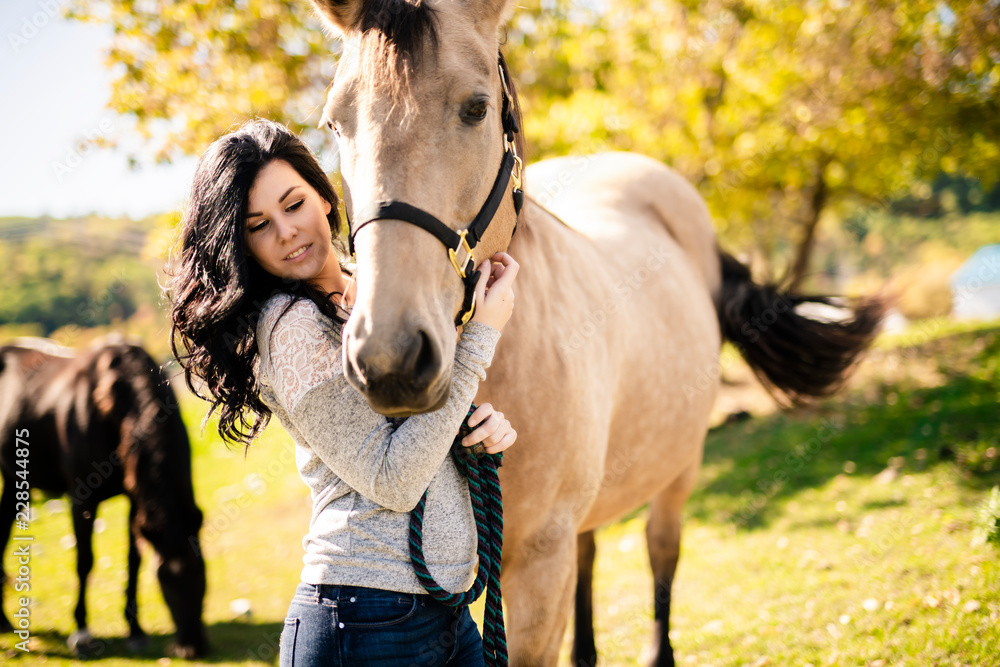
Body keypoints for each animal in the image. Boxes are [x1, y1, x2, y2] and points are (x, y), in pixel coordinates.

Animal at [0, 334, 208, 659]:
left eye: (203, 576)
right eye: (164, 580)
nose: (194, 647)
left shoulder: (136, 500)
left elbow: (133, 559)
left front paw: (135, 630)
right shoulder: (81, 499)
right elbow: (84, 561)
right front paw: (81, 632)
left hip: (13, 482)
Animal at [304, 0, 883, 663]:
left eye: (476, 108)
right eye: (334, 122)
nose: (390, 357)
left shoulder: (536, 572)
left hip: (680, 467)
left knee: (661, 550)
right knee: (592, 550)